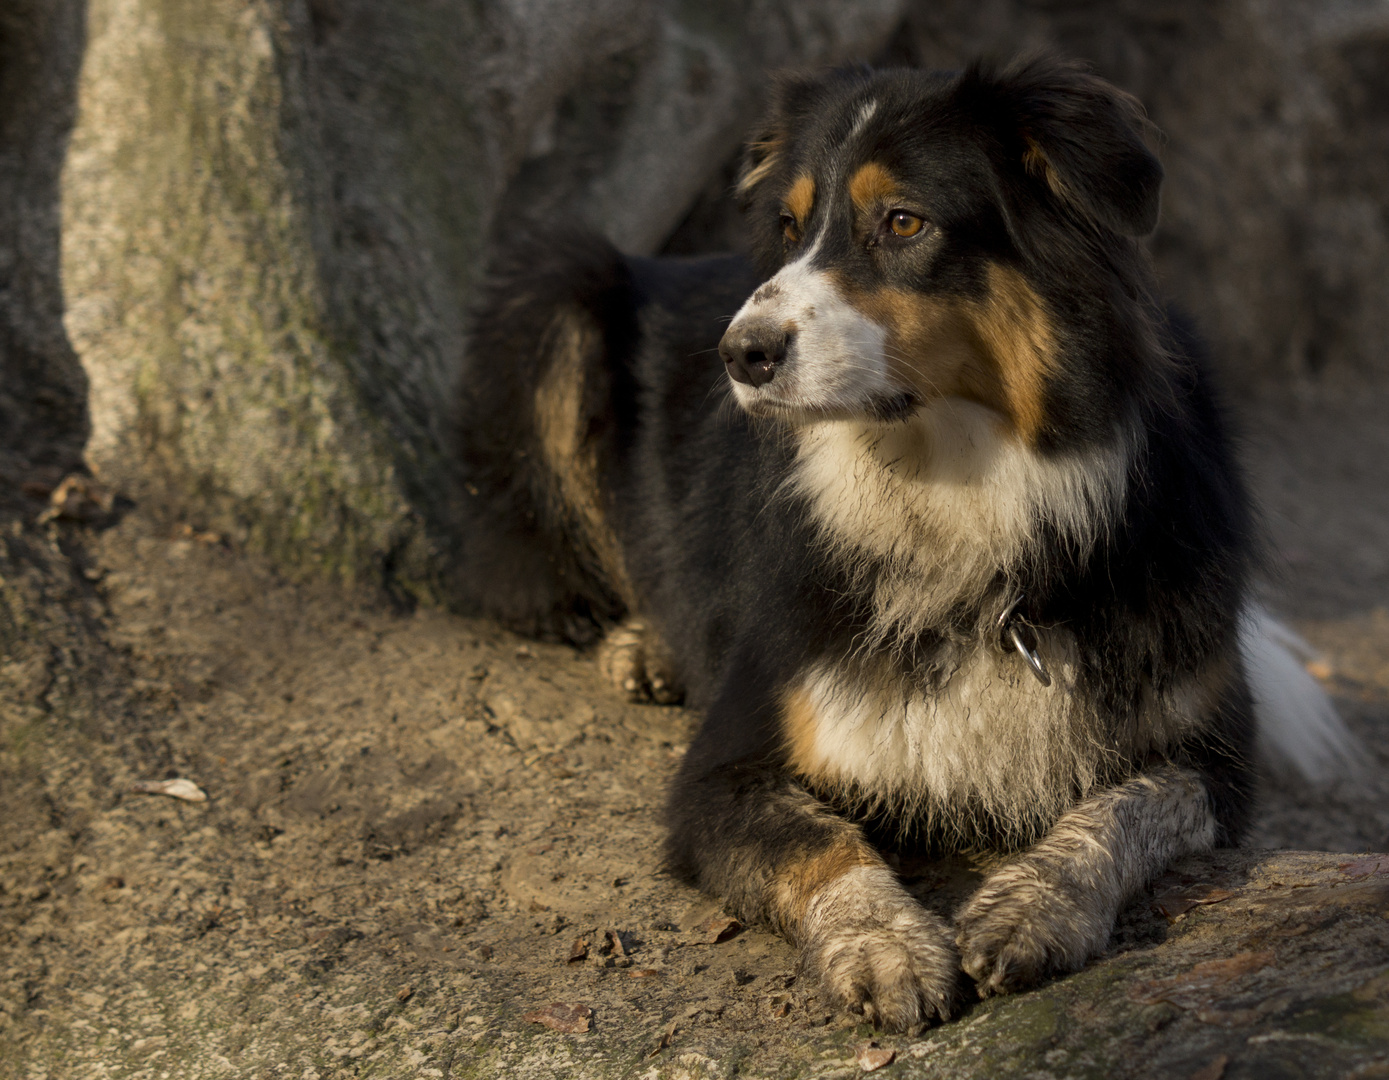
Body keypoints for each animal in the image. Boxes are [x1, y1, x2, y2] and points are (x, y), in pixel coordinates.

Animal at [461, 56, 1350, 1027]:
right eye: (788, 226)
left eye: (902, 222)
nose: (738, 354)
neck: (955, 491)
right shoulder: (726, 763)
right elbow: (821, 843)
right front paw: (889, 949)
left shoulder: (1212, 755)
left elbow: (1127, 804)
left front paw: (1030, 905)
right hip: (559, 289)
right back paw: (642, 646)